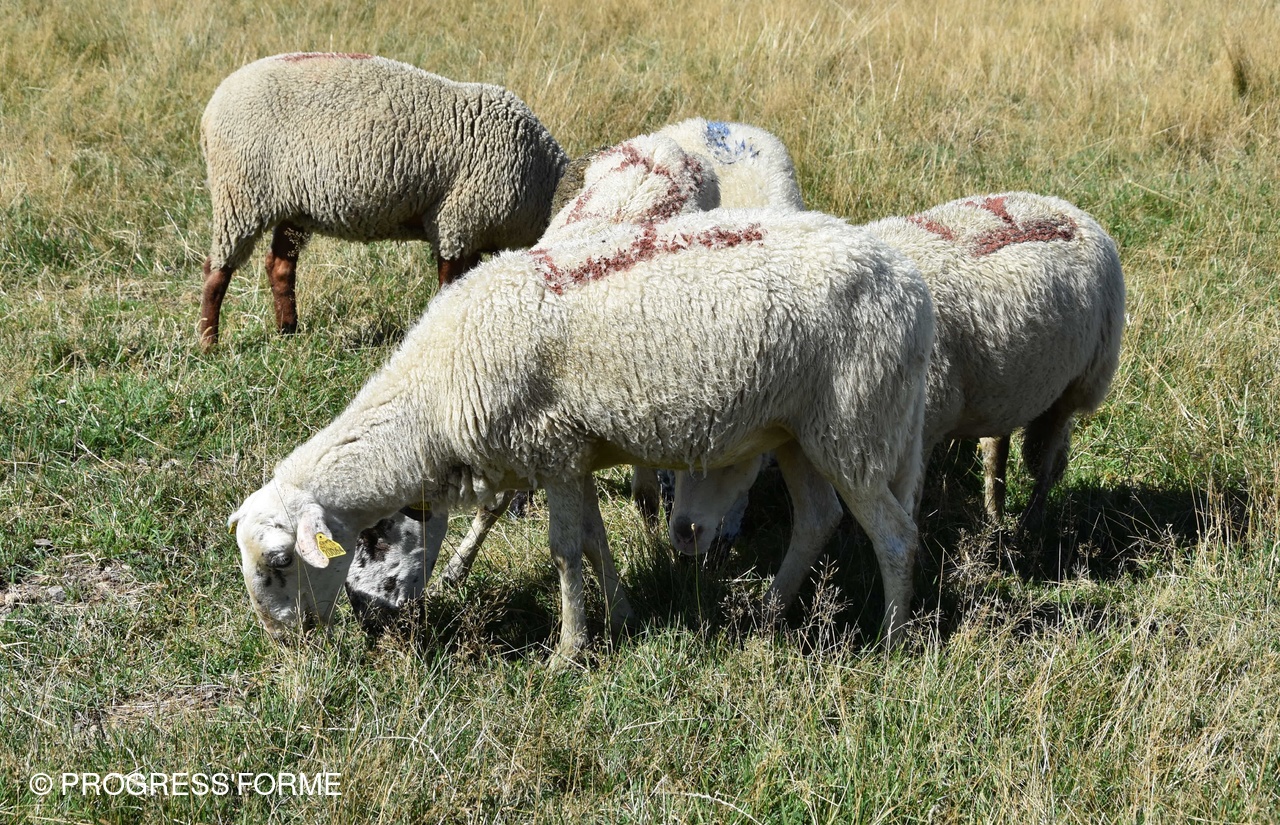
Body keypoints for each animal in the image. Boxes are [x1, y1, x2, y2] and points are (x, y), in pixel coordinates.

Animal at [197, 52, 568, 349]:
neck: (544, 179)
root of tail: (211, 107)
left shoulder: (470, 233)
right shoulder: (457, 222)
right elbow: (449, 285)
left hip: (293, 206)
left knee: (279, 265)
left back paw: (288, 331)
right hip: (240, 195)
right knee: (216, 270)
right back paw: (208, 343)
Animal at [230, 206, 935, 657]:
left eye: (282, 561)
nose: (284, 642)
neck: (431, 400)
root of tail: (910, 285)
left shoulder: (550, 448)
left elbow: (566, 550)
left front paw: (569, 652)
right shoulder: (572, 454)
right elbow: (595, 542)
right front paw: (619, 617)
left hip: (854, 424)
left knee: (896, 538)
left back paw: (893, 642)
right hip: (798, 431)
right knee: (817, 518)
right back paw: (765, 614)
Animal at [668, 192, 1125, 561]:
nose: (687, 536)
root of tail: (1069, 209)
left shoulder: (917, 428)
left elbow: (907, 500)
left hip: (1079, 383)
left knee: (1048, 462)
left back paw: (1030, 523)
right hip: (1009, 386)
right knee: (998, 446)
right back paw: (995, 513)